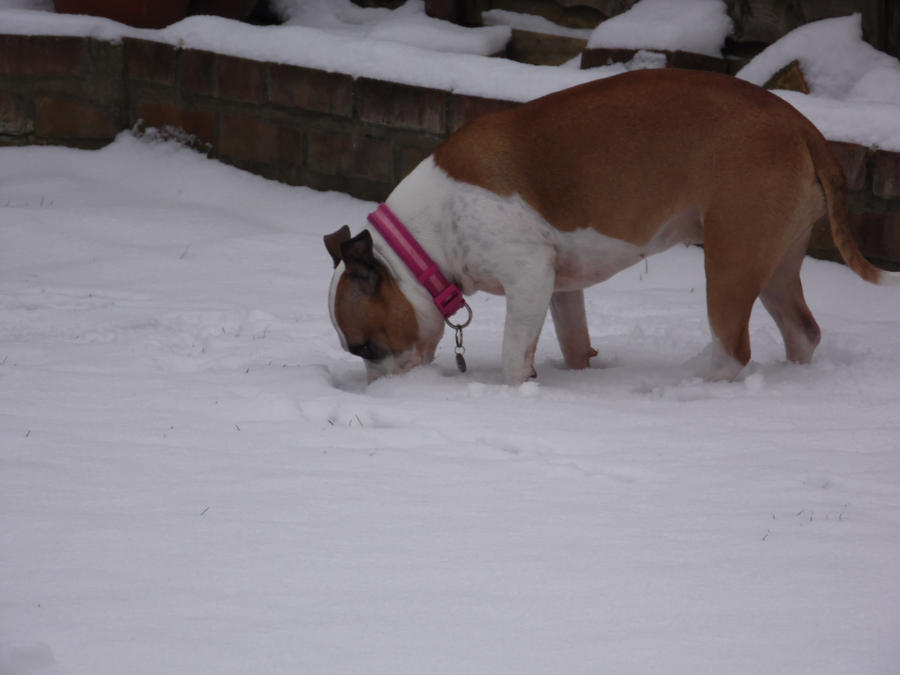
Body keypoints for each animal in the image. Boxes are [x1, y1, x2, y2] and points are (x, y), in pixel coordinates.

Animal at [324, 70, 892, 386]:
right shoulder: (559, 287)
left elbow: (513, 355)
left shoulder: (528, 276)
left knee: (734, 349)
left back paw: (683, 387)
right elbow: (574, 342)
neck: (424, 239)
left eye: (365, 348)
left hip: (732, 260)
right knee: (802, 331)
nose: (377, 386)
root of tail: (799, 124)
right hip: (774, 262)